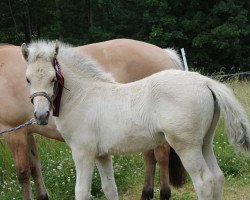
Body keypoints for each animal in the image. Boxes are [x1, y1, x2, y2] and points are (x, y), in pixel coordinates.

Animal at [0, 39, 185, 200]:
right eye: (27, 79)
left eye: (54, 79)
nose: (41, 115)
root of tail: (166, 53)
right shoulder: (27, 132)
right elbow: (34, 167)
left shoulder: (14, 132)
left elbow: (23, 173)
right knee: (149, 157)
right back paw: (146, 194)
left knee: (161, 156)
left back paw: (164, 194)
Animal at [22, 39, 250, 199]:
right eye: (28, 79)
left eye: (53, 78)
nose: (41, 115)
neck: (83, 96)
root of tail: (205, 82)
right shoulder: (102, 154)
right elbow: (109, 188)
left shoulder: (82, 152)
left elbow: (82, 191)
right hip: (205, 142)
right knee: (218, 178)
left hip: (186, 146)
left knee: (204, 182)